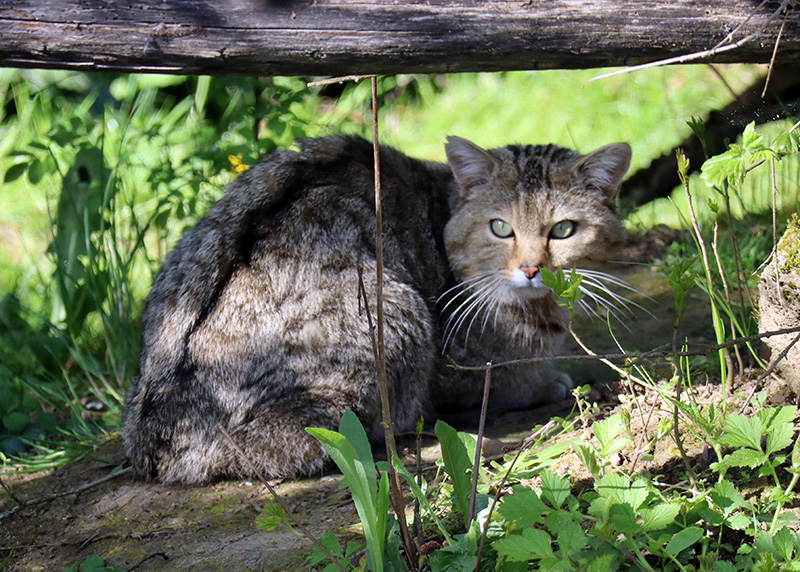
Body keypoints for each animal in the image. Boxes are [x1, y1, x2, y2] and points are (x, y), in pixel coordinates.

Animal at [123, 134, 632, 482]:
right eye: (501, 228)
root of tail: (153, 434)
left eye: (563, 230)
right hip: (399, 315)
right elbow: (507, 380)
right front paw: (551, 380)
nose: (531, 268)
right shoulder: (458, 370)